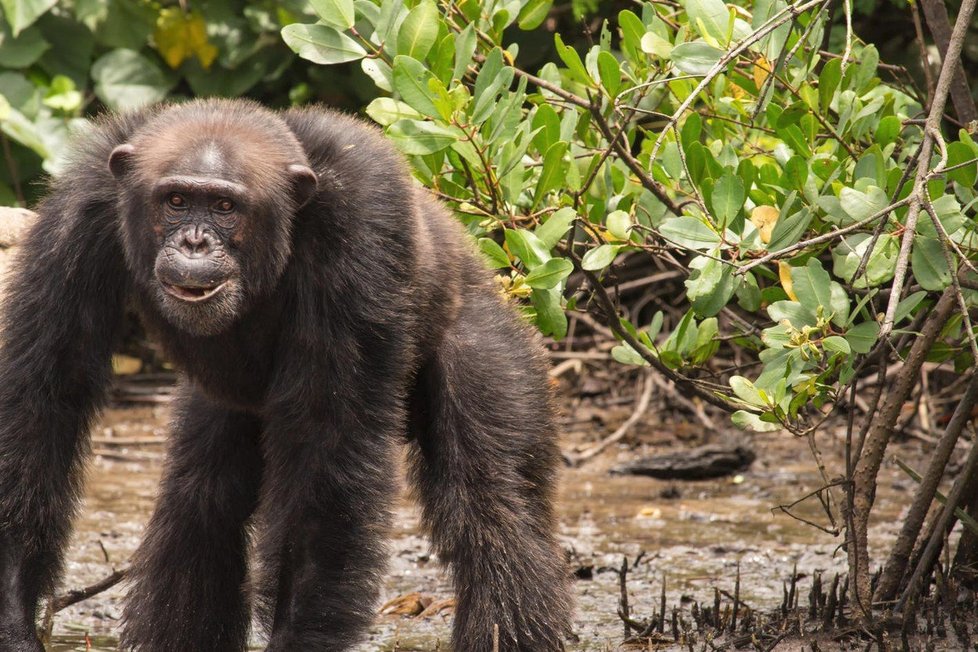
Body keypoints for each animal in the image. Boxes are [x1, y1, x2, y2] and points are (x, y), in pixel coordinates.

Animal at [0, 99, 572, 648]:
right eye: (177, 201)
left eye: (225, 207)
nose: (194, 243)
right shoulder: (80, 211)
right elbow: (43, 393)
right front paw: (13, 622)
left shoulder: (362, 221)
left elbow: (327, 438)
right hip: (222, 405)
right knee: (201, 497)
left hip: (498, 350)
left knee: (491, 498)